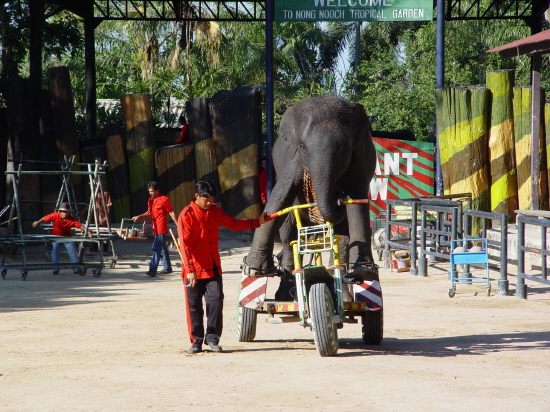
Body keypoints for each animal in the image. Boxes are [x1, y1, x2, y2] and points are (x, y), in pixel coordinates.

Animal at [245, 94, 380, 300]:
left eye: (346, 146)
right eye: (302, 146)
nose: (338, 198)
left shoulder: (360, 156)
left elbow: (357, 199)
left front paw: (364, 271)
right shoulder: (292, 157)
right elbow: (281, 194)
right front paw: (254, 270)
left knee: (342, 236)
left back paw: (343, 293)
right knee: (288, 236)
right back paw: (285, 294)